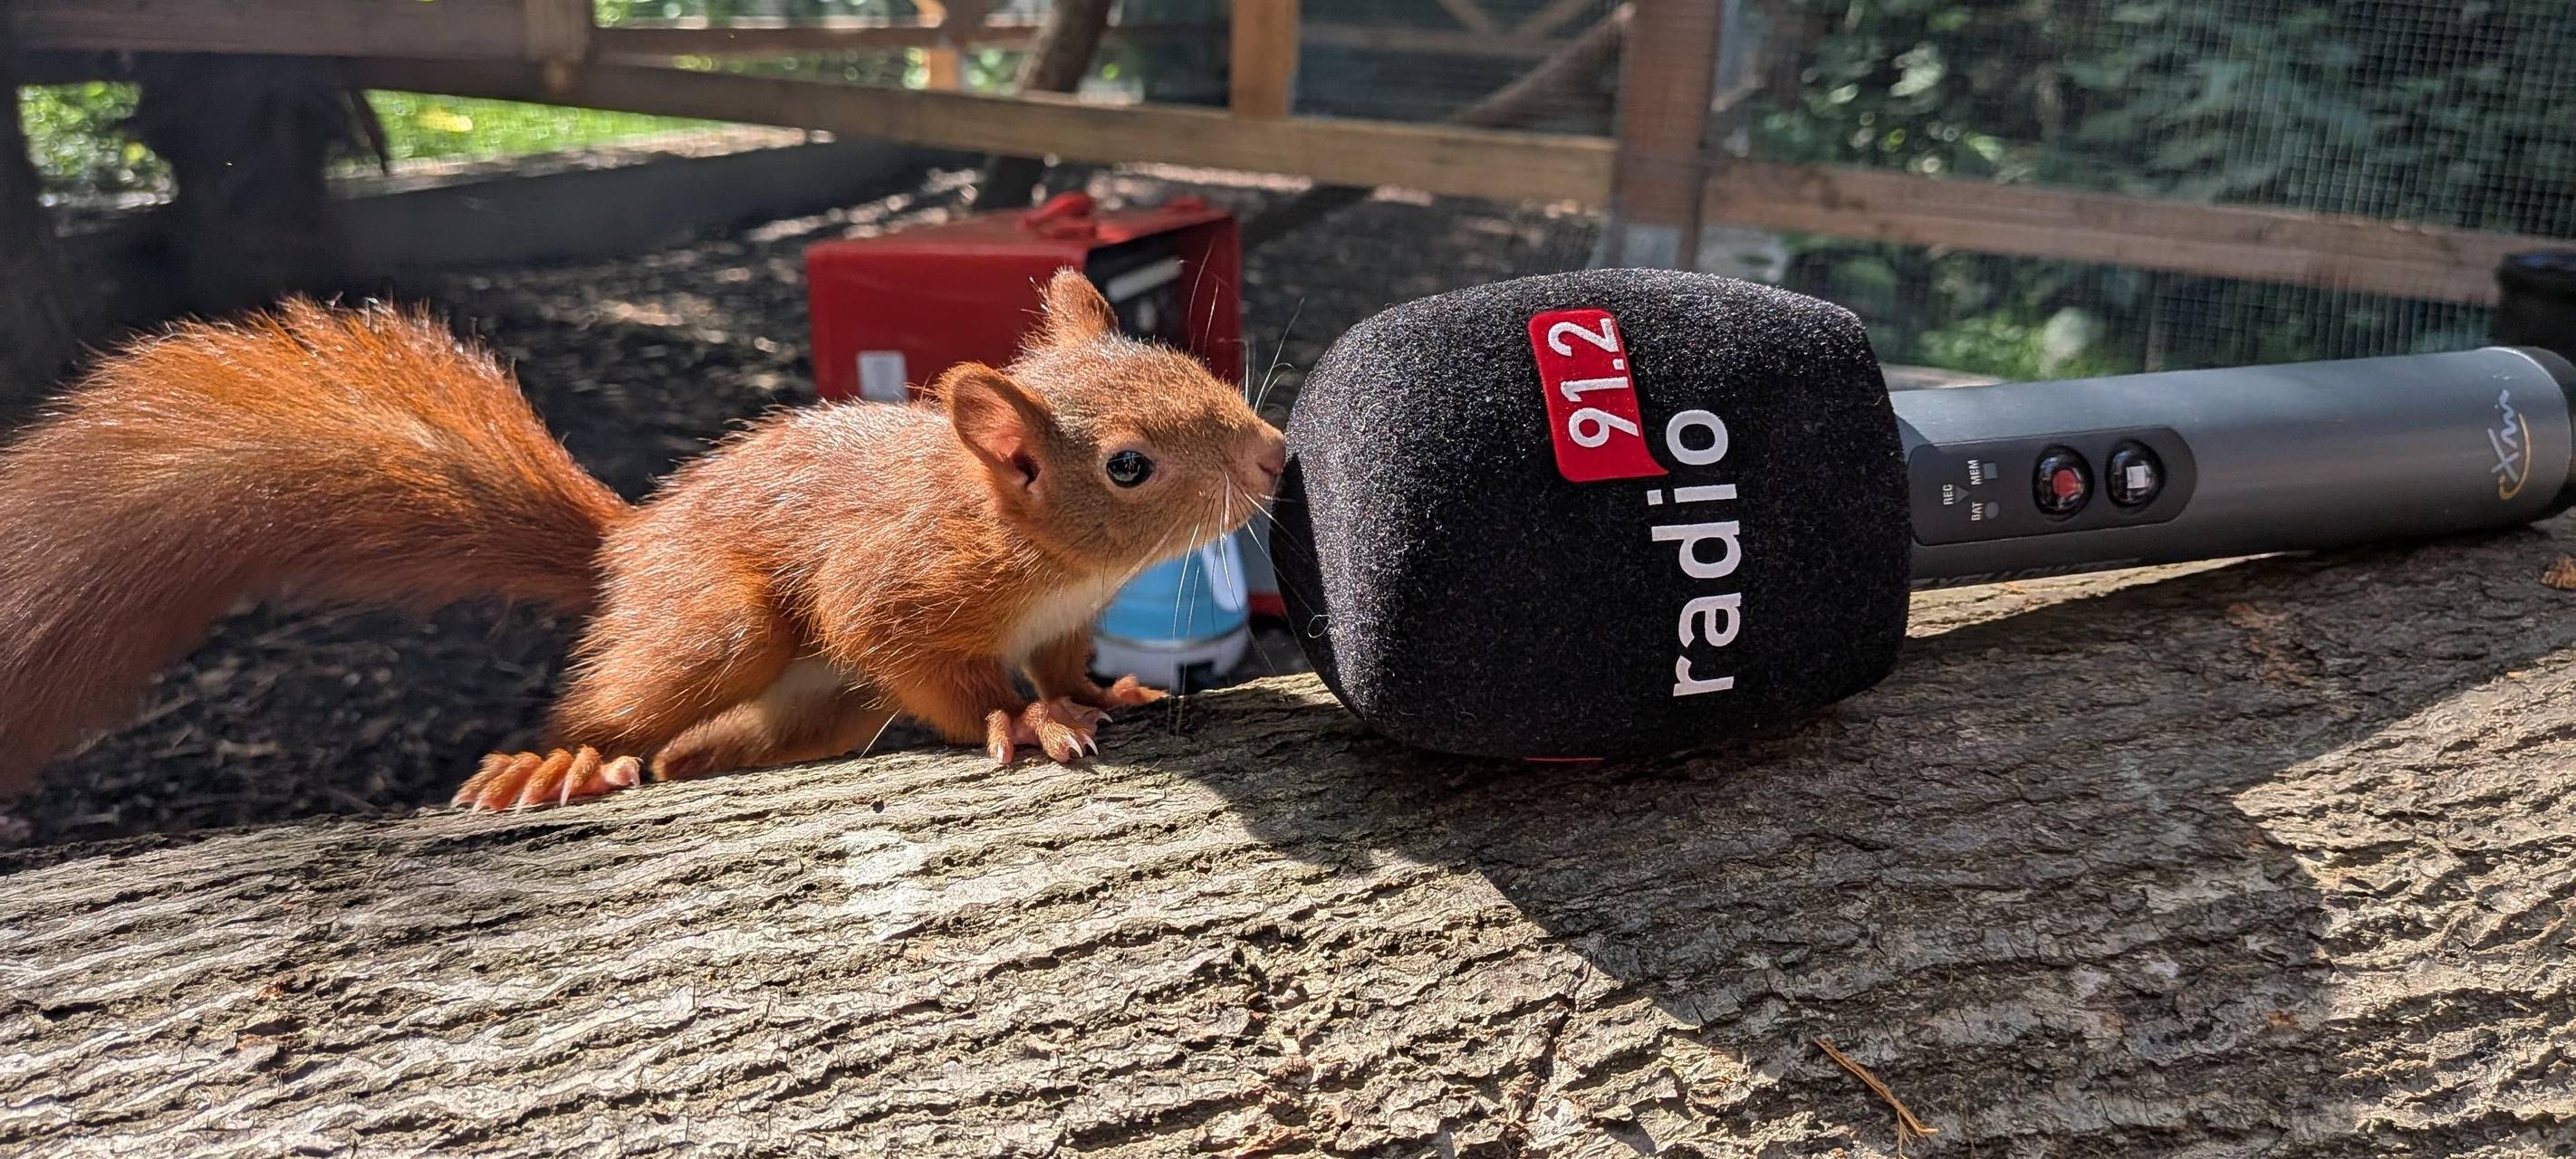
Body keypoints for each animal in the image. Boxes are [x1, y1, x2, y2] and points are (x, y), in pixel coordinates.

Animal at [0, 268, 1286, 812]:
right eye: (1128, 465)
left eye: (1186, 360)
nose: (1275, 455)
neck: (1051, 561)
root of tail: (632, 541)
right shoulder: (903, 589)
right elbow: (937, 666)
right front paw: (1019, 718)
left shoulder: (1064, 623)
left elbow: (1071, 665)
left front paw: (1106, 693)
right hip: (721, 624)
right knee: (623, 707)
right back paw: (560, 760)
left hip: (815, 704)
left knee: (697, 755)